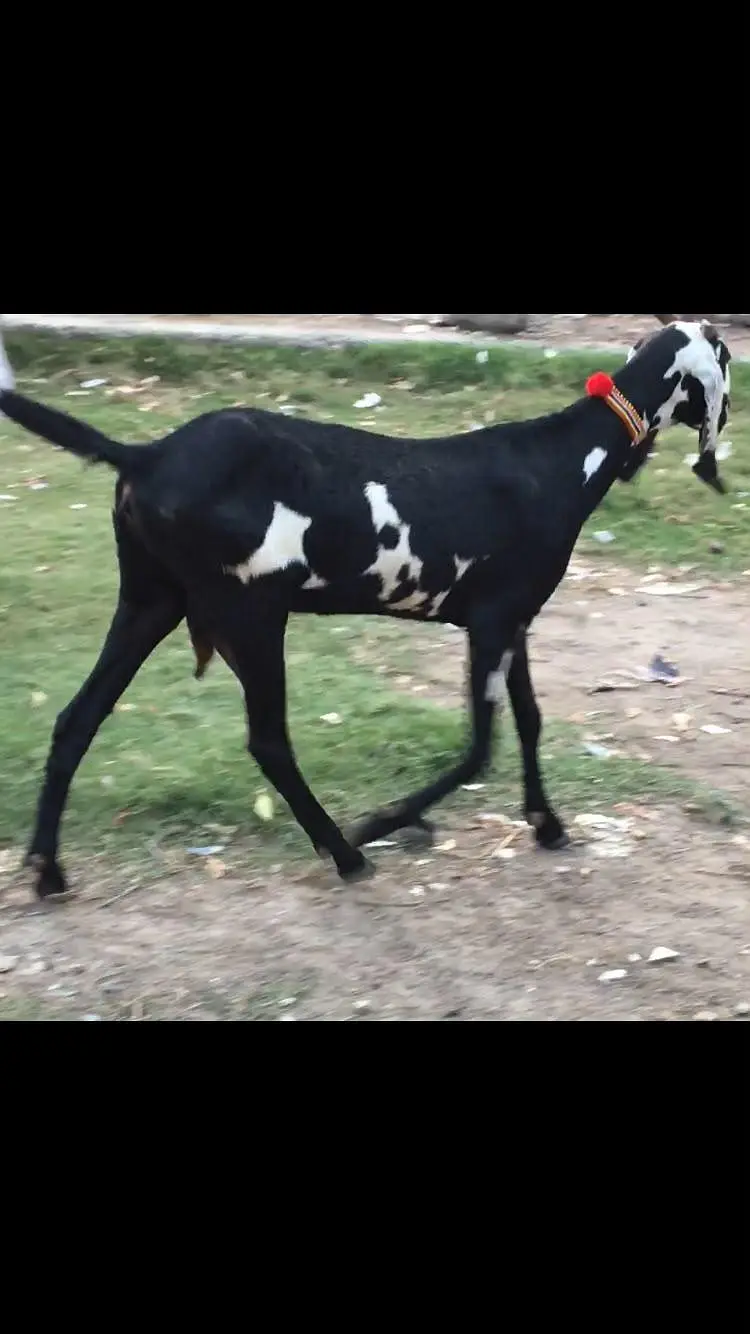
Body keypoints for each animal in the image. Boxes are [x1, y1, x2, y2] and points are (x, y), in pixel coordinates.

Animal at [0, 320, 732, 900]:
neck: (559, 459)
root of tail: (147, 454)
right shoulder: (491, 624)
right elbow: (479, 751)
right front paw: (383, 821)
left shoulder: (512, 623)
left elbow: (529, 722)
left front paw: (547, 824)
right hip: (250, 615)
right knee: (269, 742)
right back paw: (346, 852)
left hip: (151, 601)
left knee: (77, 719)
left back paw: (46, 869)